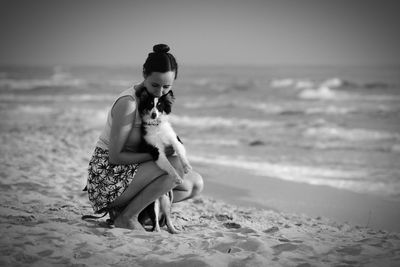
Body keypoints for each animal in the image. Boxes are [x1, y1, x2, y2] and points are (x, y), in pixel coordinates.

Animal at [135, 88, 191, 234]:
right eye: (149, 105)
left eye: (159, 106)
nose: (154, 114)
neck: (156, 125)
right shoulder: (157, 151)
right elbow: (169, 166)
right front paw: (177, 178)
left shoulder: (175, 139)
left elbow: (180, 152)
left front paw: (186, 167)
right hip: (153, 203)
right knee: (156, 222)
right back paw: (158, 232)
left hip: (166, 200)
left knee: (168, 219)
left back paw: (174, 230)